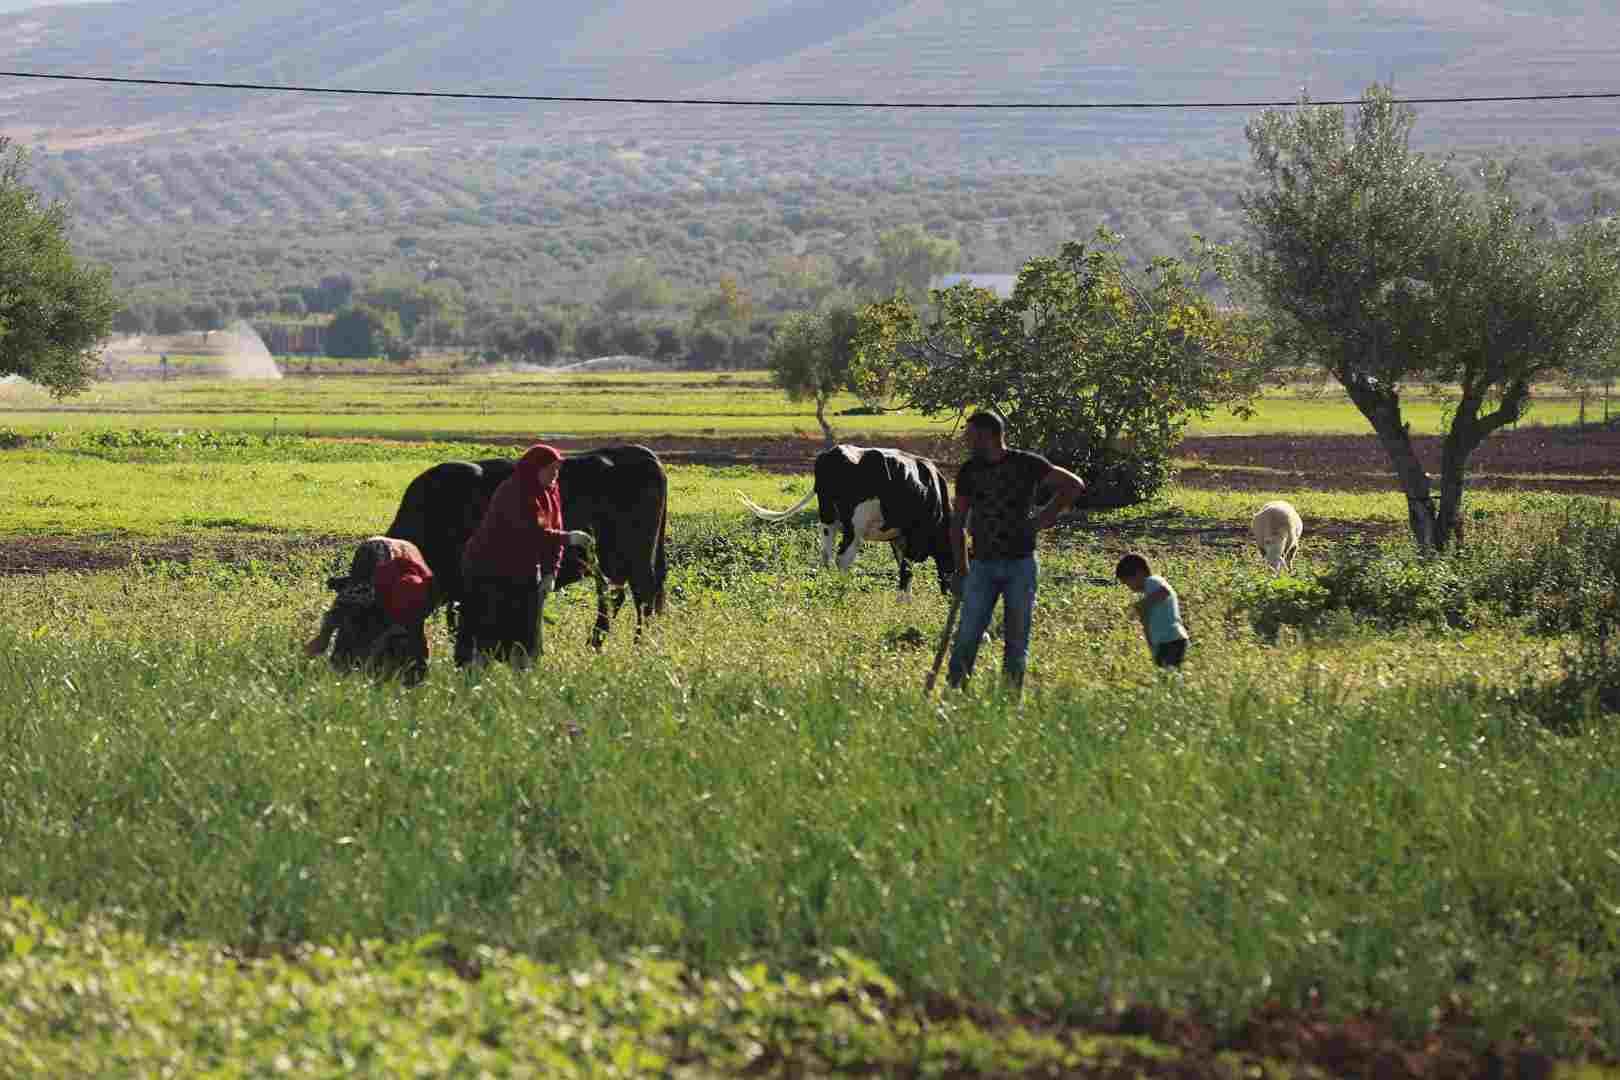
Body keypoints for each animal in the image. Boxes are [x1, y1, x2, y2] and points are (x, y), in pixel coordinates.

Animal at [382, 443, 667, 647]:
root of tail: (642, 453)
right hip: (613, 560)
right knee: (617, 596)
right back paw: (597, 641)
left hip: (636, 557)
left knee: (642, 598)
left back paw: (638, 645)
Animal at [741, 446, 952, 599]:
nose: (949, 596)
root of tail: (834, 453)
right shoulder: (913, 536)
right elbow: (907, 569)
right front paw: (904, 603)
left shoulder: (899, 538)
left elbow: (903, 568)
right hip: (855, 527)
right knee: (842, 558)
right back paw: (843, 592)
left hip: (828, 520)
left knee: (826, 556)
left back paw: (829, 587)